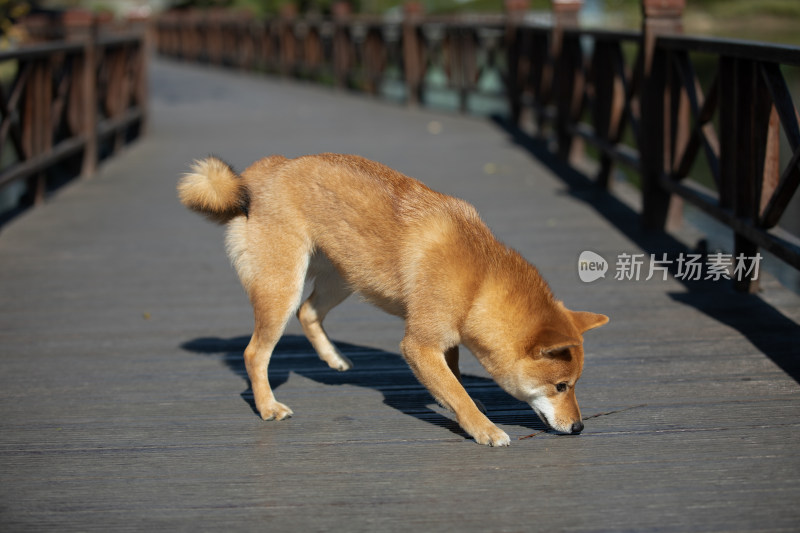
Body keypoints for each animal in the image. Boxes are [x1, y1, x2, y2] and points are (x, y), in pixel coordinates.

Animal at [180, 153, 608, 444]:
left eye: (574, 385)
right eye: (561, 386)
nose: (578, 426)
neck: (478, 279)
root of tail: (265, 170)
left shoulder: (444, 337)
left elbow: (452, 379)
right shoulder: (418, 344)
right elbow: (456, 391)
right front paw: (483, 428)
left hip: (344, 279)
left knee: (308, 312)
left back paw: (333, 359)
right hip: (281, 290)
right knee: (256, 353)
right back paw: (268, 406)